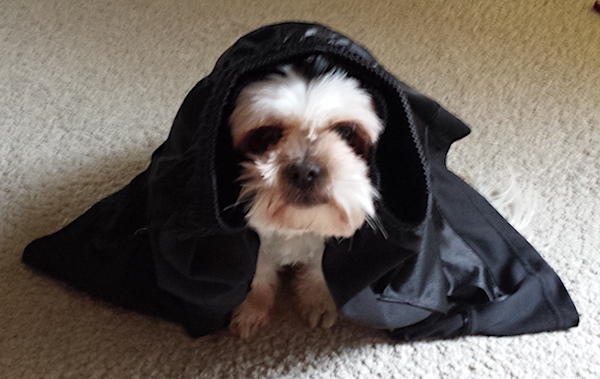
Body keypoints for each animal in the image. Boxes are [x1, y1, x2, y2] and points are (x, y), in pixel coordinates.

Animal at [227, 55, 382, 338]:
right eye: (267, 135)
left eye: (346, 132)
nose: (305, 171)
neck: (297, 228)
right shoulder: (257, 244)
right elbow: (259, 273)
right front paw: (251, 309)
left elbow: (318, 269)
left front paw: (318, 300)